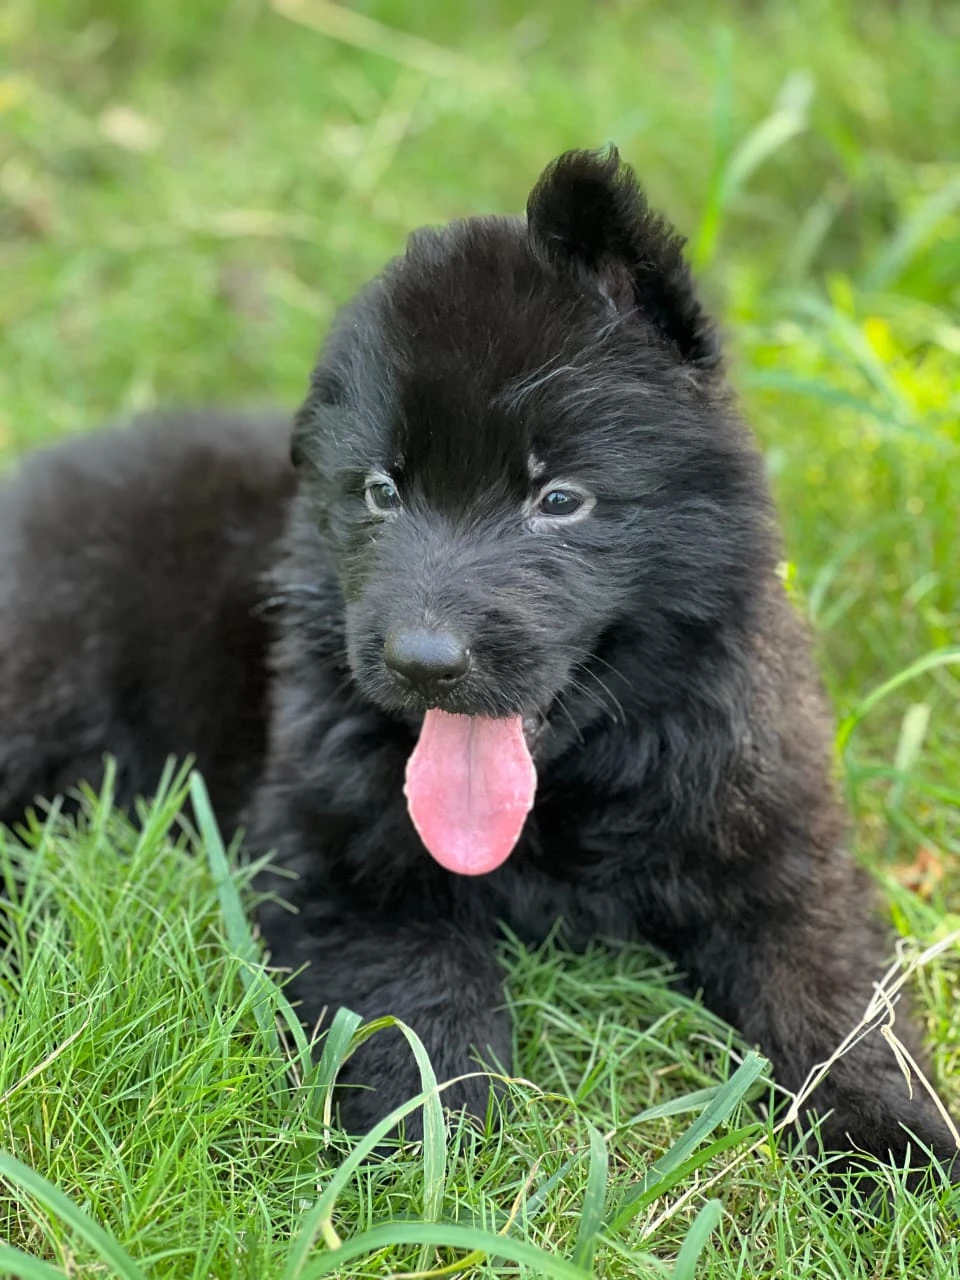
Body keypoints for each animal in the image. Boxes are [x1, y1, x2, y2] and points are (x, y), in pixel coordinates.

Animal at [0, 145, 957, 1172]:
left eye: (561, 500)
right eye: (381, 491)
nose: (422, 662)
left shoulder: (778, 851)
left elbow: (838, 1001)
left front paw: (896, 1142)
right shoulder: (344, 867)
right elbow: (422, 998)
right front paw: (441, 1149)